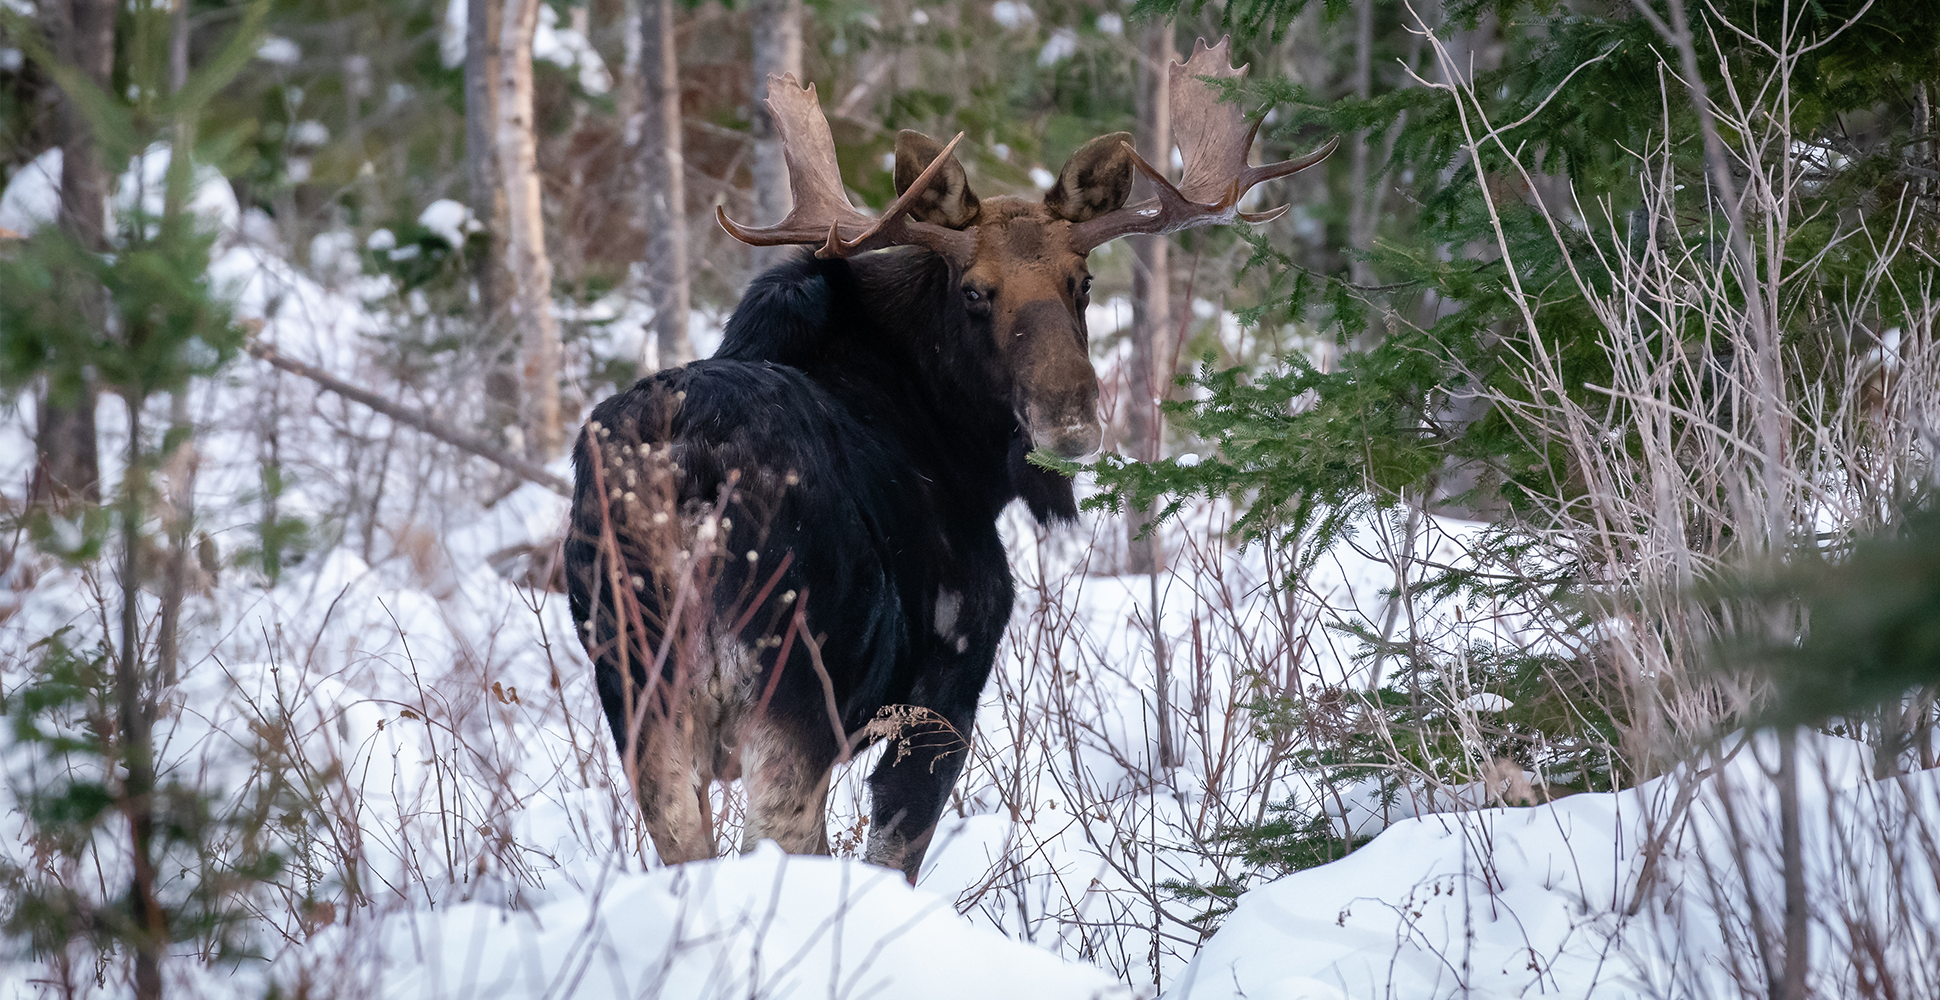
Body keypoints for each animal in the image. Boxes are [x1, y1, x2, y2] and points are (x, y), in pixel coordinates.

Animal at [564, 37, 1333, 882]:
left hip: (639, 695)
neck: (964, 462)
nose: (1070, 418)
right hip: (791, 693)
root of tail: (688, 477)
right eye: (974, 291)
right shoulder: (950, 682)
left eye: (1082, 282)